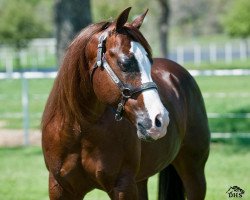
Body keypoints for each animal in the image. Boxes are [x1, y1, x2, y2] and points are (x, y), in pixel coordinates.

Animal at [42, 7, 210, 200]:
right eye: (125, 63)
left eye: (150, 61)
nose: (160, 120)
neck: (80, 130)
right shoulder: (60, 188)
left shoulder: (123, 186)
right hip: (142, 180)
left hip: (193, 172)